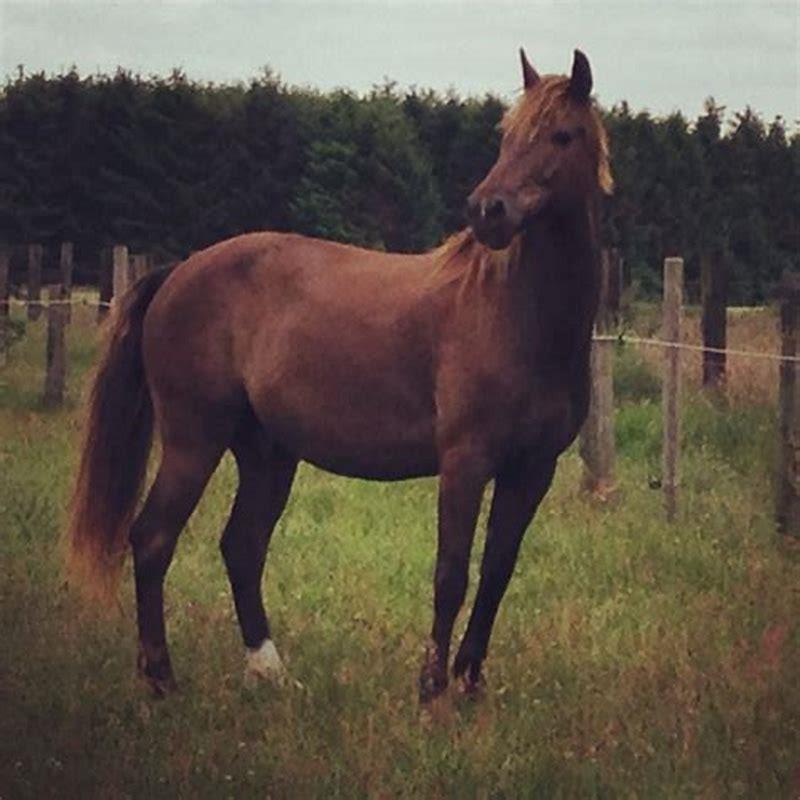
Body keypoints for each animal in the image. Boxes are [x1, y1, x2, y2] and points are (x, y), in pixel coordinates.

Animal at [68, 48, 612, 703]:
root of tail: (180, 271)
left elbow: (496, 575)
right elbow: (451, 573)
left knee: (241, 546)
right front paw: (431, 692)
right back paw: (162, 679)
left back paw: (270, 671)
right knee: (152, 539)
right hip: (194, 441)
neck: (516, 314)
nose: (488, 211)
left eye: (562, 135)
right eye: (505, 136)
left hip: (267, 453)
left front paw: (471, 686)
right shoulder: (466, 461)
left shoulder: (531, 471)